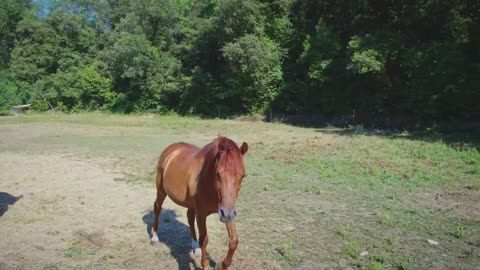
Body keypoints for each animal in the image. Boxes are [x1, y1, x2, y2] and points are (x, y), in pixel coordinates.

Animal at [150, 137, 248, 270]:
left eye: (242, 176)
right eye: (218, 174)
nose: (226, 214)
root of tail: (171, 149)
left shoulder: (228, 211)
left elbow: (233, 241)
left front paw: (222, 265)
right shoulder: (202, 214)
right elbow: (204, 240)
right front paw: (204, 265)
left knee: (190, 218)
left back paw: (195, 247)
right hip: (161, 190)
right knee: (157, 208)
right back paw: (155, 237)